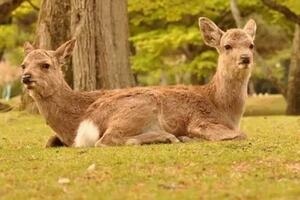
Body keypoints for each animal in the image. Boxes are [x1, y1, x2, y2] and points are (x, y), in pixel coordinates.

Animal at [20, 17, 255, 148]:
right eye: (226, 46)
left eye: (251, 45)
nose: (246, 58)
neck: (223, 108)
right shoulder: (200, 120)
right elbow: (242, 134)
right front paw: (190, 138)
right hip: (142, 104)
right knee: (107, 140)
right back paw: (169, 137)